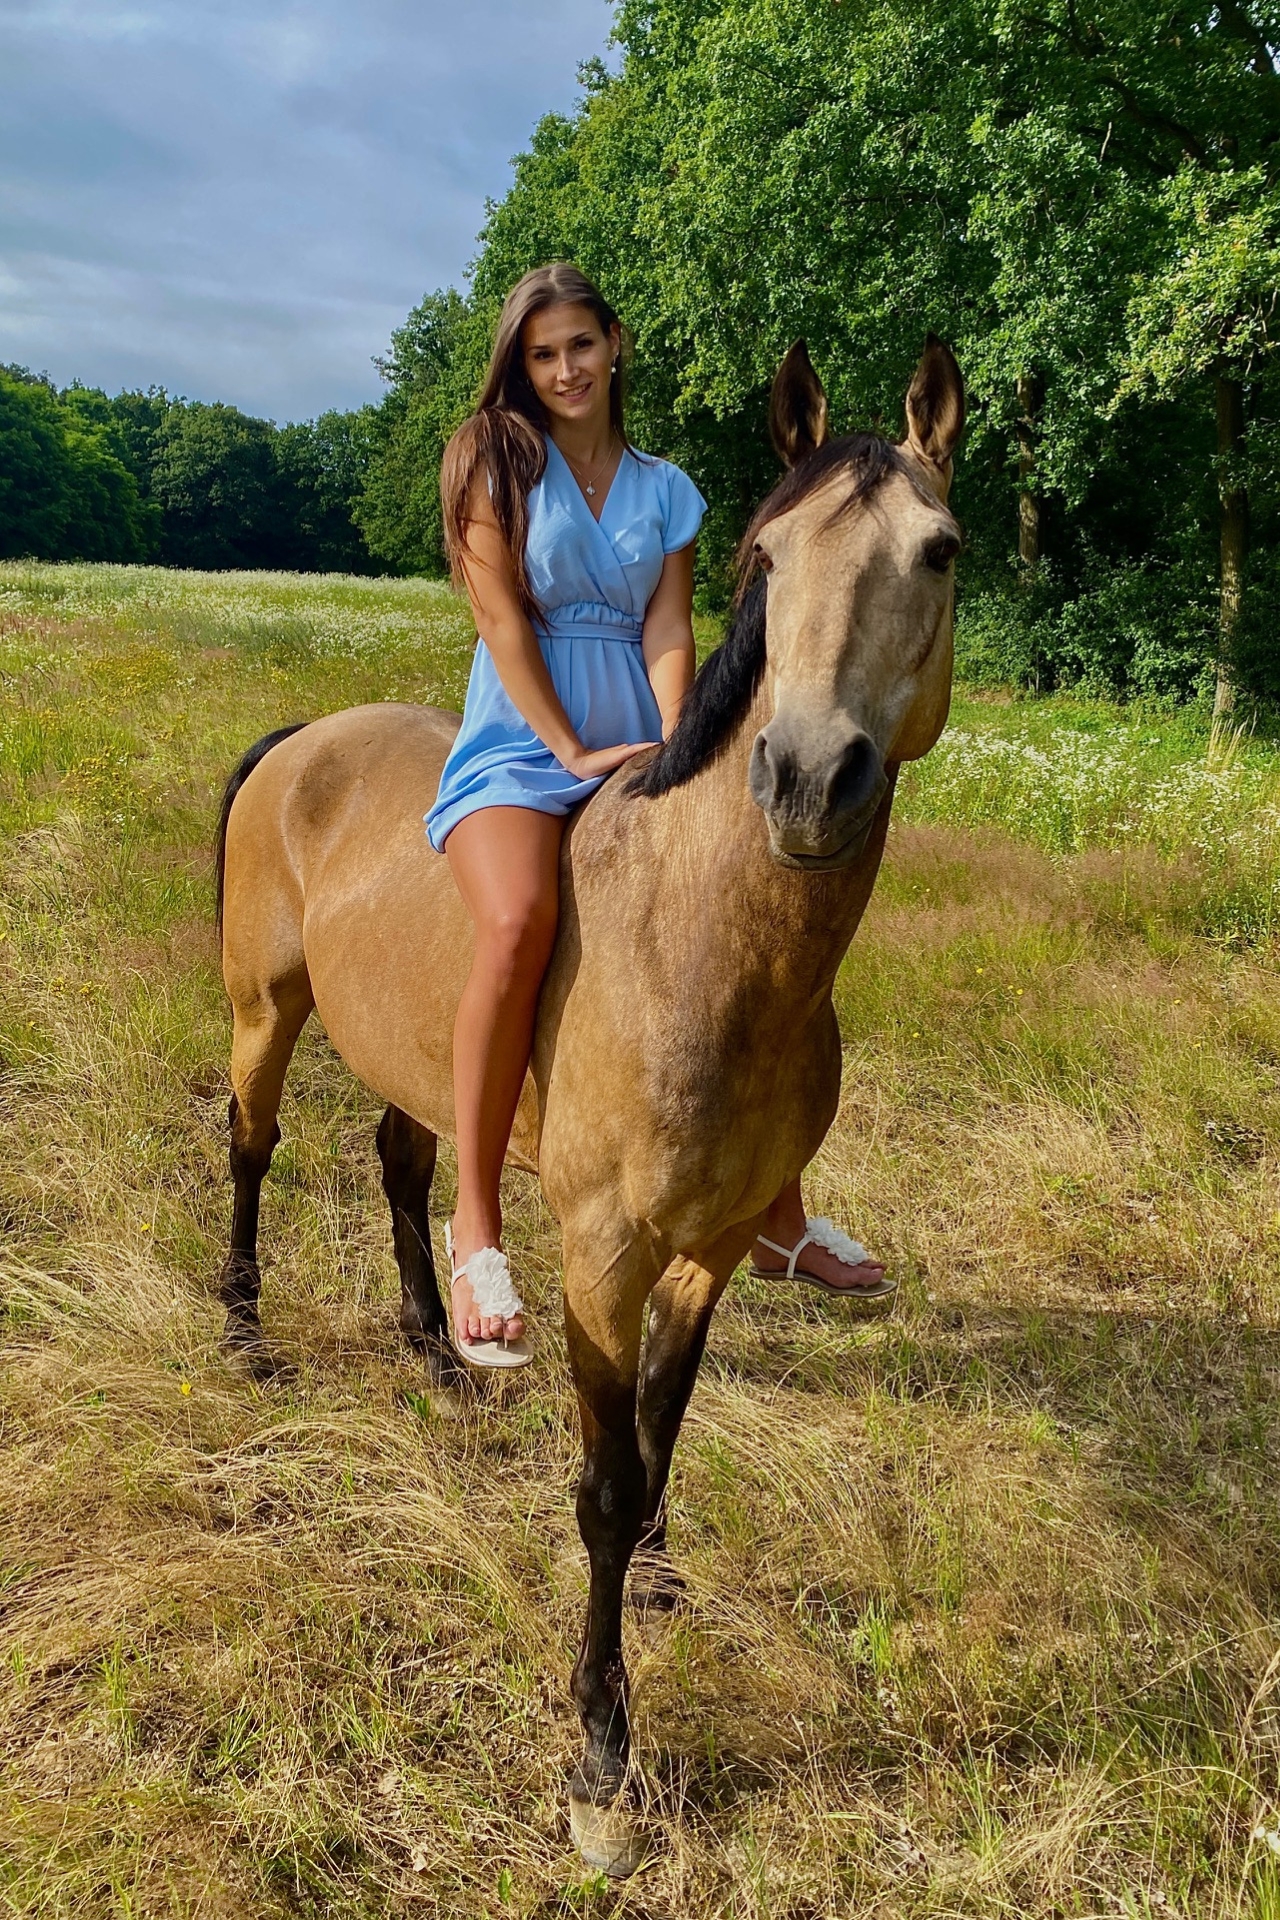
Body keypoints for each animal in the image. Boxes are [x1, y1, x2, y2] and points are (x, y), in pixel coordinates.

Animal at [214, 334, 967, 1873]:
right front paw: (599, 1755)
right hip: (268, 1012)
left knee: (401, 1165)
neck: (695, 951)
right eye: (763, 556)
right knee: (253, 1147)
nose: (807, 777)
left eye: (938, 550)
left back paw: (441, 1346)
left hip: (425, 1059)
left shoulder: (710, 1246)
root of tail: (304, 739)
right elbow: (604, 1484)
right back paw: (246, 1328)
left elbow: (662, 1434)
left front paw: (669, 1573)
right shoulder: (607, 1257)